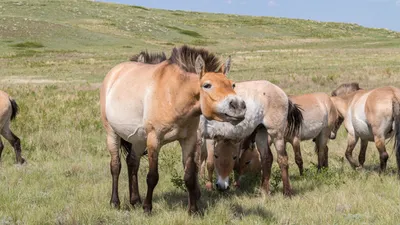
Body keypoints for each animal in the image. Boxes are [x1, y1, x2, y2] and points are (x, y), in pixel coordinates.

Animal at [99, 45, 247, 213]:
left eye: (232, 84)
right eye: (207, 85)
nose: (238, 106)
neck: (175, 94)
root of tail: (113, 73)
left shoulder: (189, 140)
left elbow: (189, 176)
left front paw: (193, 210)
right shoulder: (154, 140)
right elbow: (152, 176)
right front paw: (147, 207)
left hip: (138, 139)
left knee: (132, 162)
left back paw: (135, 200)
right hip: (112, 133)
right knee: (115, 166)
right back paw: (115, 202)